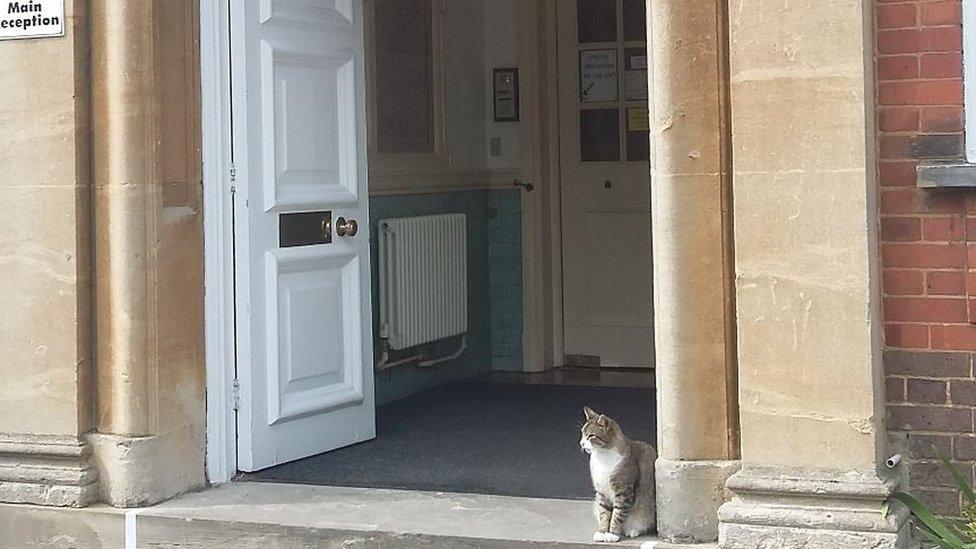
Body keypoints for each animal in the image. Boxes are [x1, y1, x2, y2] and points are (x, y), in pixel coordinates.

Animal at [580, 404, 656, 540]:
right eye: (582, 434)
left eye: (591, 436)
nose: (582, 444)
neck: (602, 457)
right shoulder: (602, 492)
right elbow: (604, 514)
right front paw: (602, 532)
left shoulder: (623, 491)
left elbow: (617, 515)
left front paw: (613, 534)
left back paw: (632, 530)